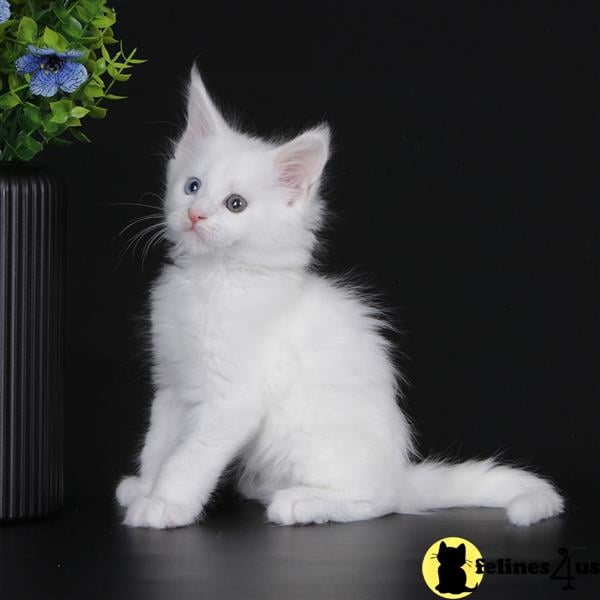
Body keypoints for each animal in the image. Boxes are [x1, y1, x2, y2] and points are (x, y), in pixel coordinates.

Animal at [115, 67, 564, 528]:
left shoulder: (231, 401)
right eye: (192, 186)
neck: (211, 281)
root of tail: (398, 474)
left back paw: (301, 502)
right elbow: (158, 446)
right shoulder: (172, 386)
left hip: (307, 437)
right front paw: (145, 488)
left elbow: (189, 458)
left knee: (376, 501)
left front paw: (164, 504)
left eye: (235, 204)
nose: (195, 214)